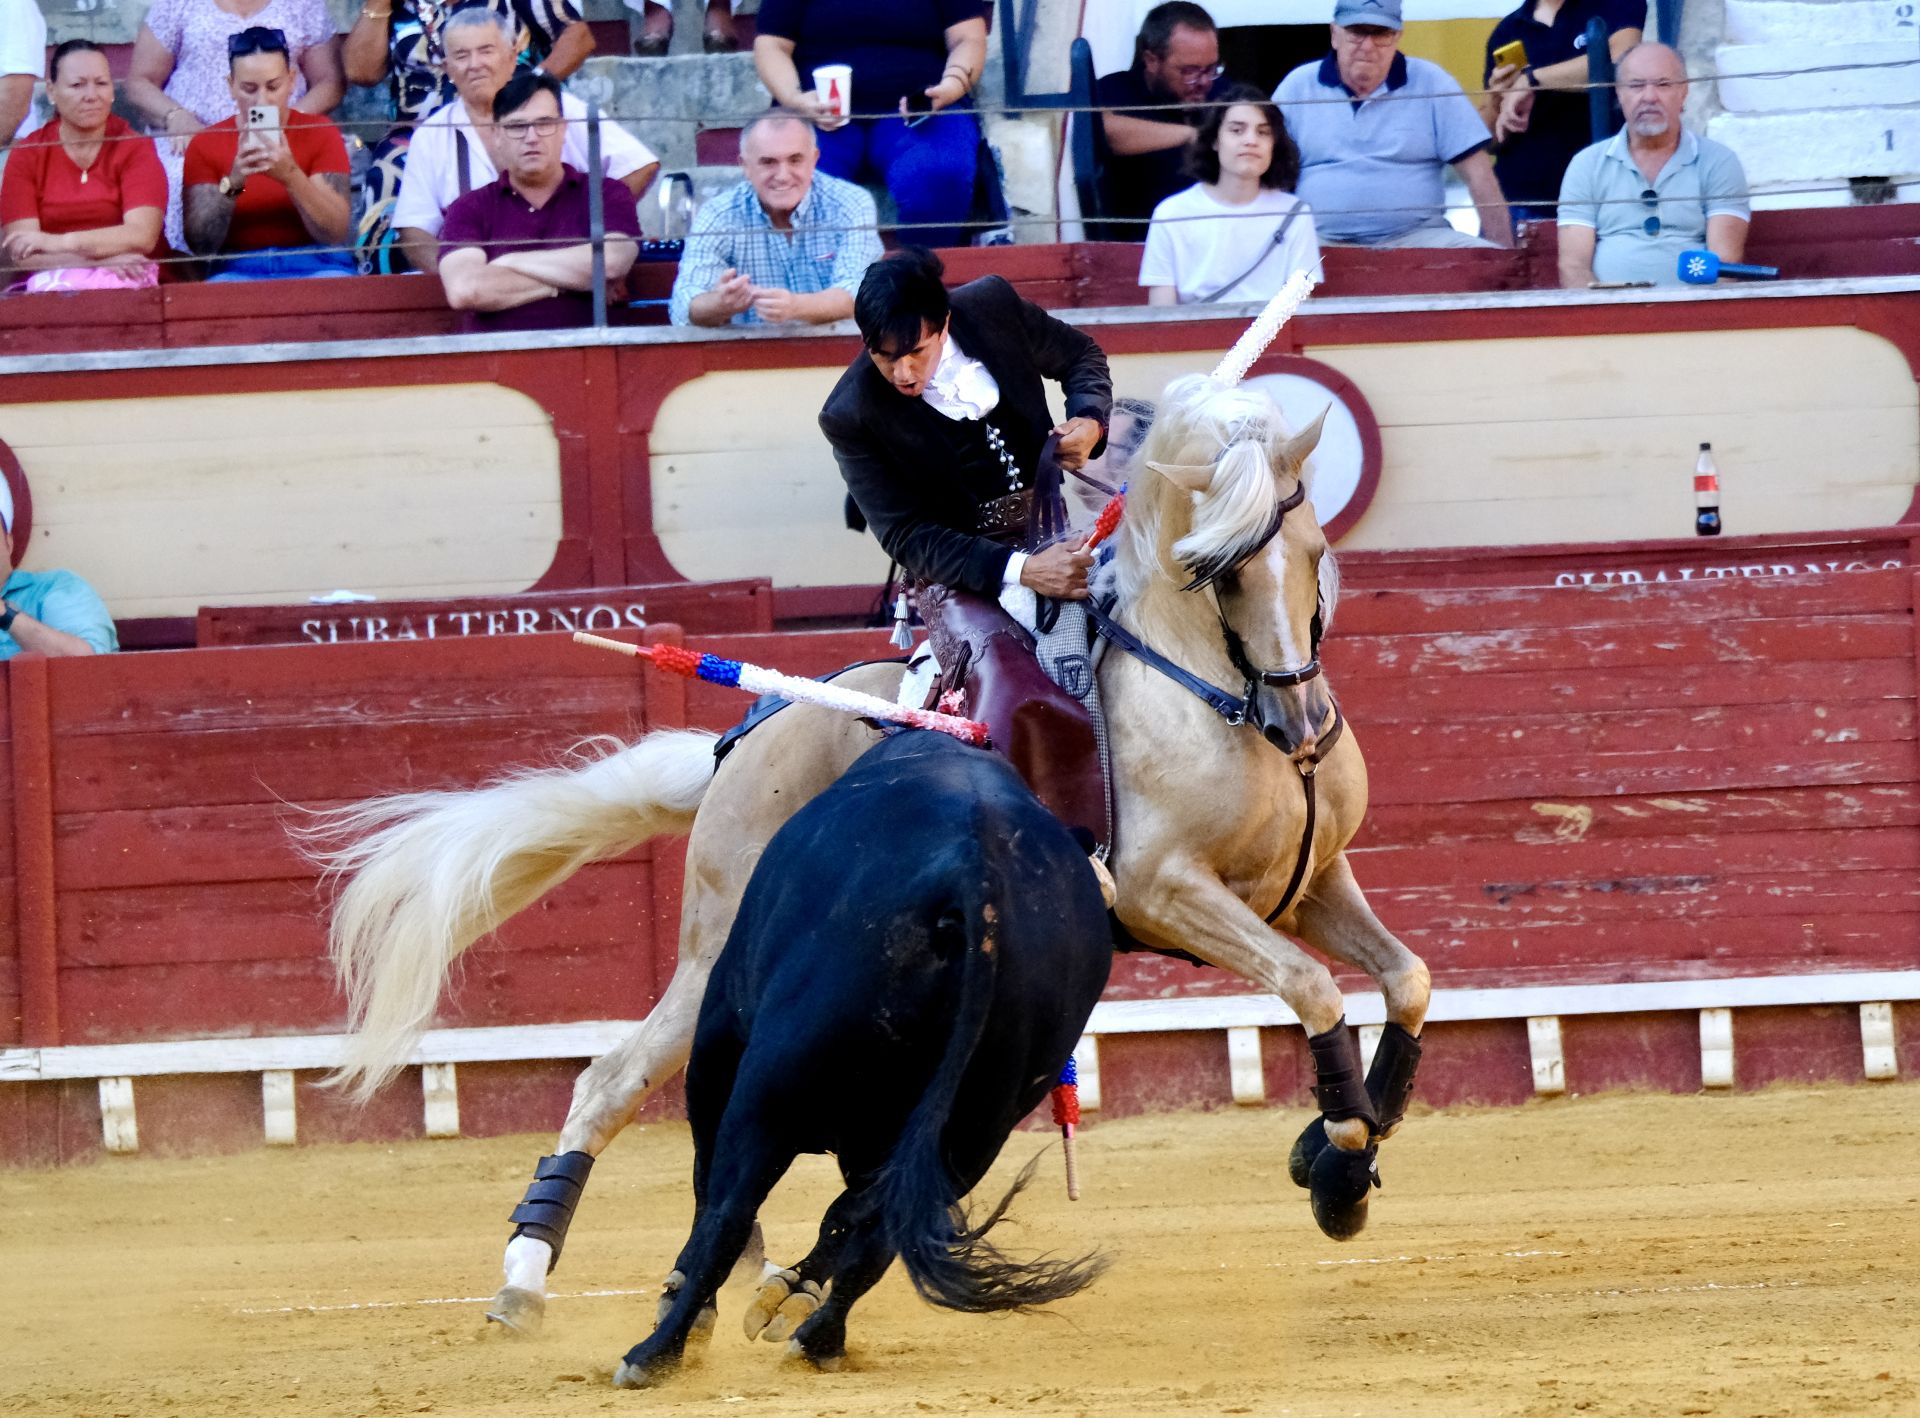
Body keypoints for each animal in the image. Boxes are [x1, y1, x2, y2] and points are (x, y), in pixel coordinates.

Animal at [614, 732, 1121, 1389]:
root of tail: (977, 875)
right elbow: (849, 1219)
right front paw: (789, 1294)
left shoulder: (719, 1039)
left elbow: (718, 1193)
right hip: (977, 1126)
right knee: (879, 1233)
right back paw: (818, 1338)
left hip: (769, 1093)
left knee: (730, 1213)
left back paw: (655, 1352)